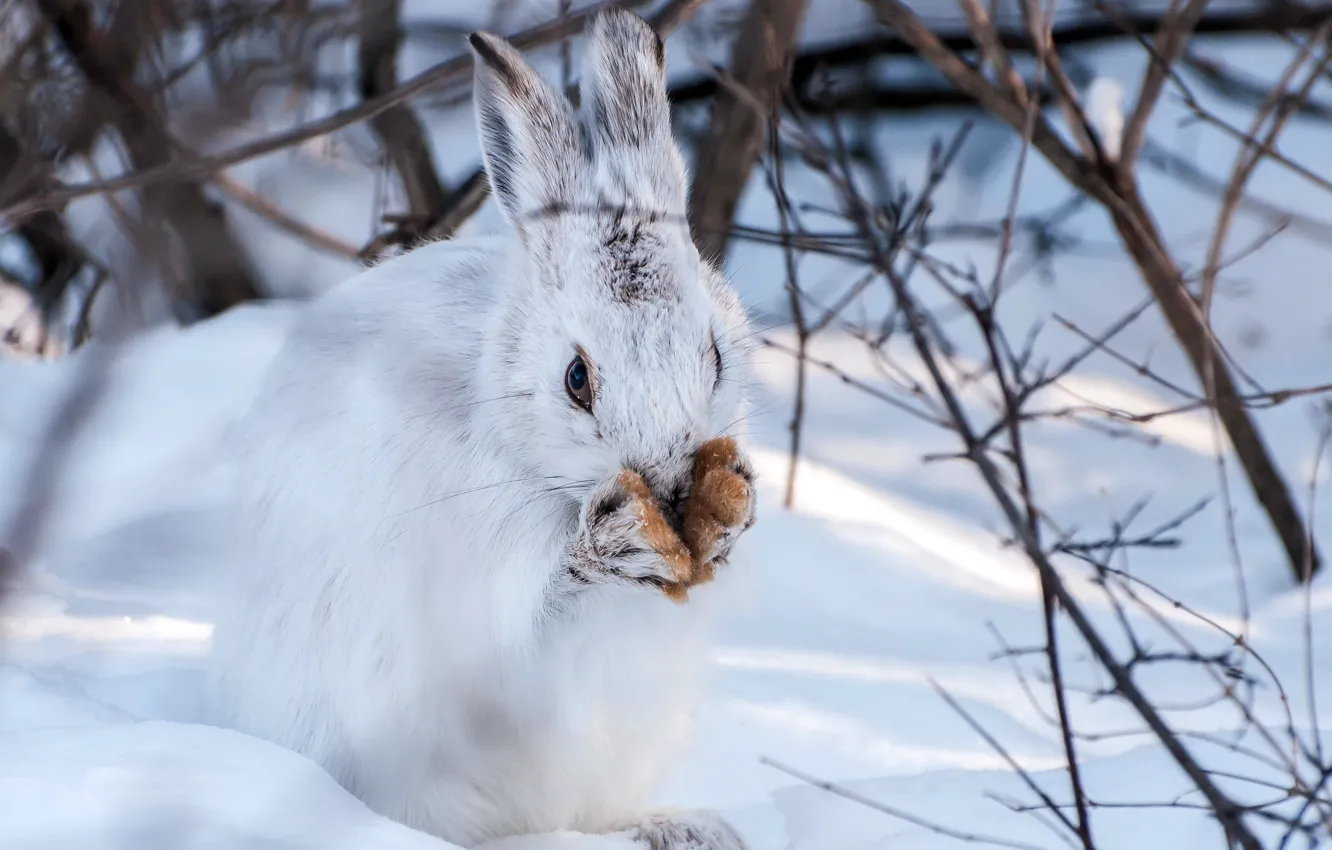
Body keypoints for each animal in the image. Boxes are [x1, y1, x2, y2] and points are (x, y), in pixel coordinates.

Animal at [207, 9, 758, 850]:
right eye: (575, 378)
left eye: (715, 354)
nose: (668, 484)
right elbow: (532, 620)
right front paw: (615, 545)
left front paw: (727, 523)